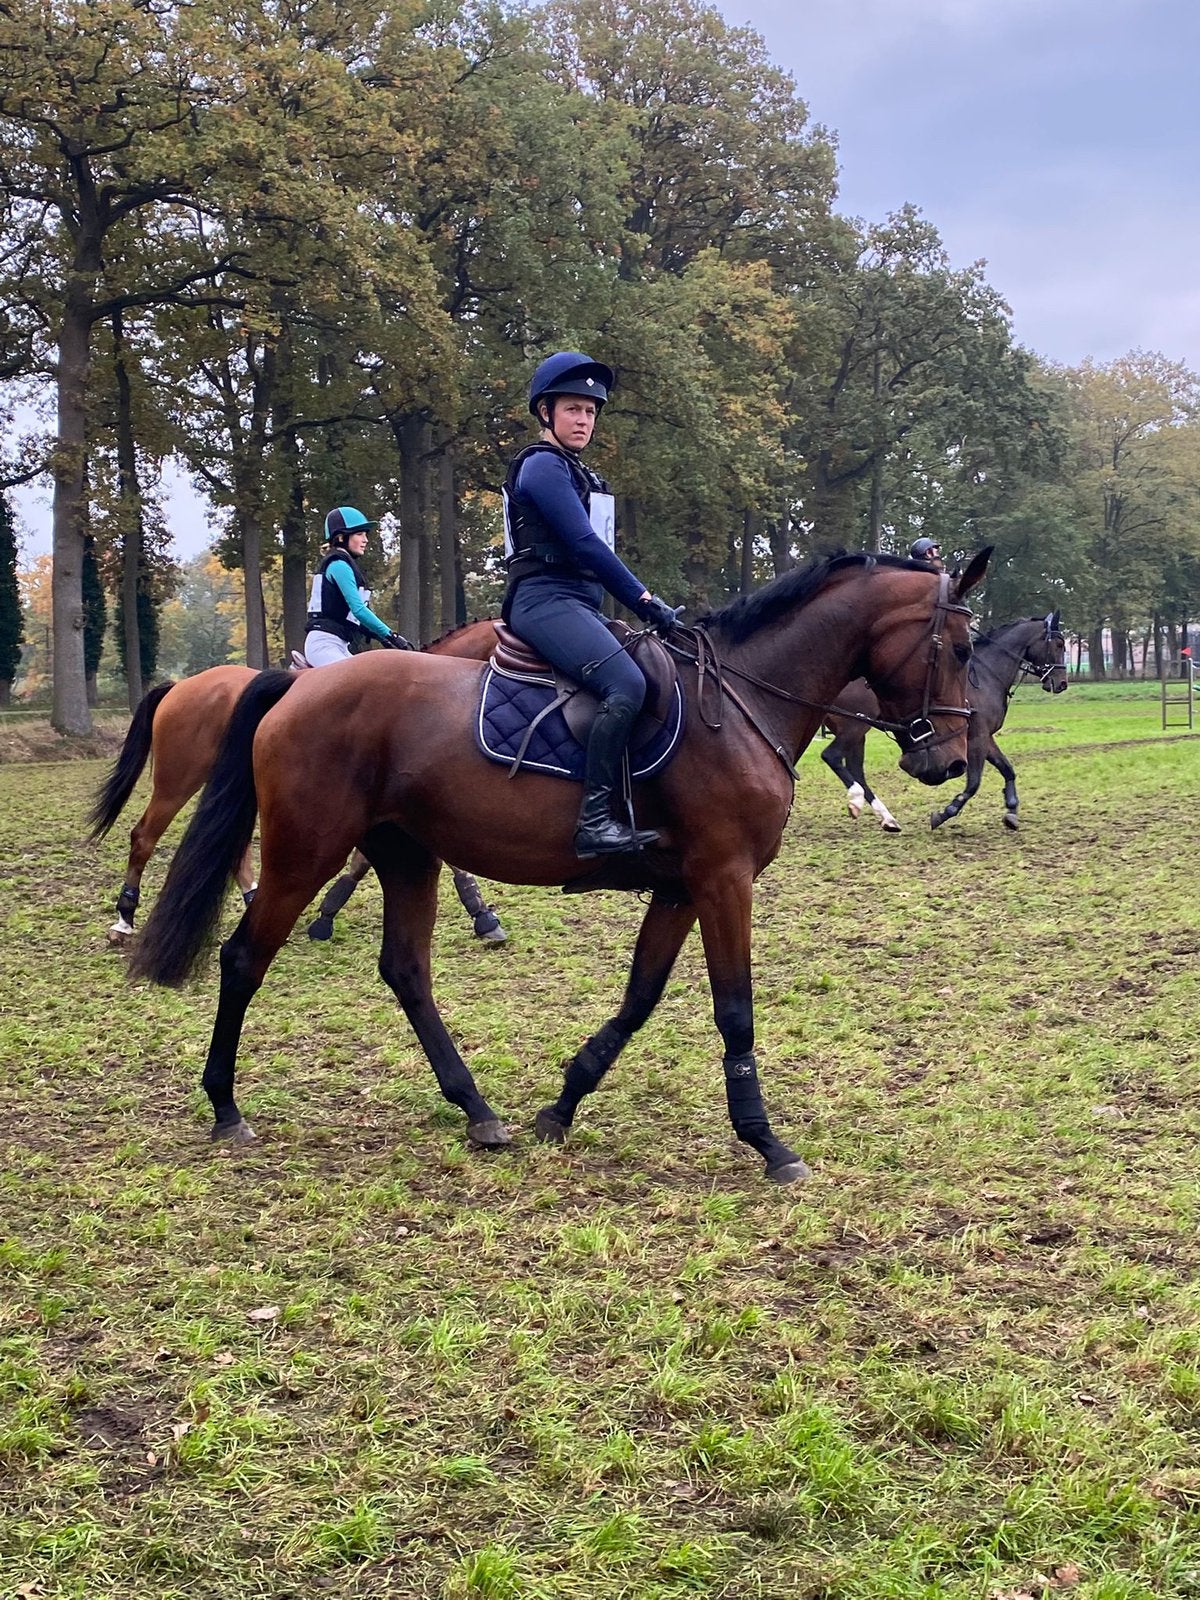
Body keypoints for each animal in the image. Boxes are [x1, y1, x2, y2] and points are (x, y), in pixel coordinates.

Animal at [87, 620, 506, 943]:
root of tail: (180, 686)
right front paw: (483, 915)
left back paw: (253, 901)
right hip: (177, 781)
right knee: (143, 836)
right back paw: (124, 919)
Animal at [818, 611, 1067, 833]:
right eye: (1058, 645)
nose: (1062, 683)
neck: (985, 677)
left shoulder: (985, 737)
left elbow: (1007, 769)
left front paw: (1012, 812)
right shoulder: (977, 738)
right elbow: (974, 782)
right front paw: (945, 813)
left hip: (856, 731)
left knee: (855, 768)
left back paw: (885, 816)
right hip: (855, 726)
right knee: (832, 756)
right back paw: (859, 801)